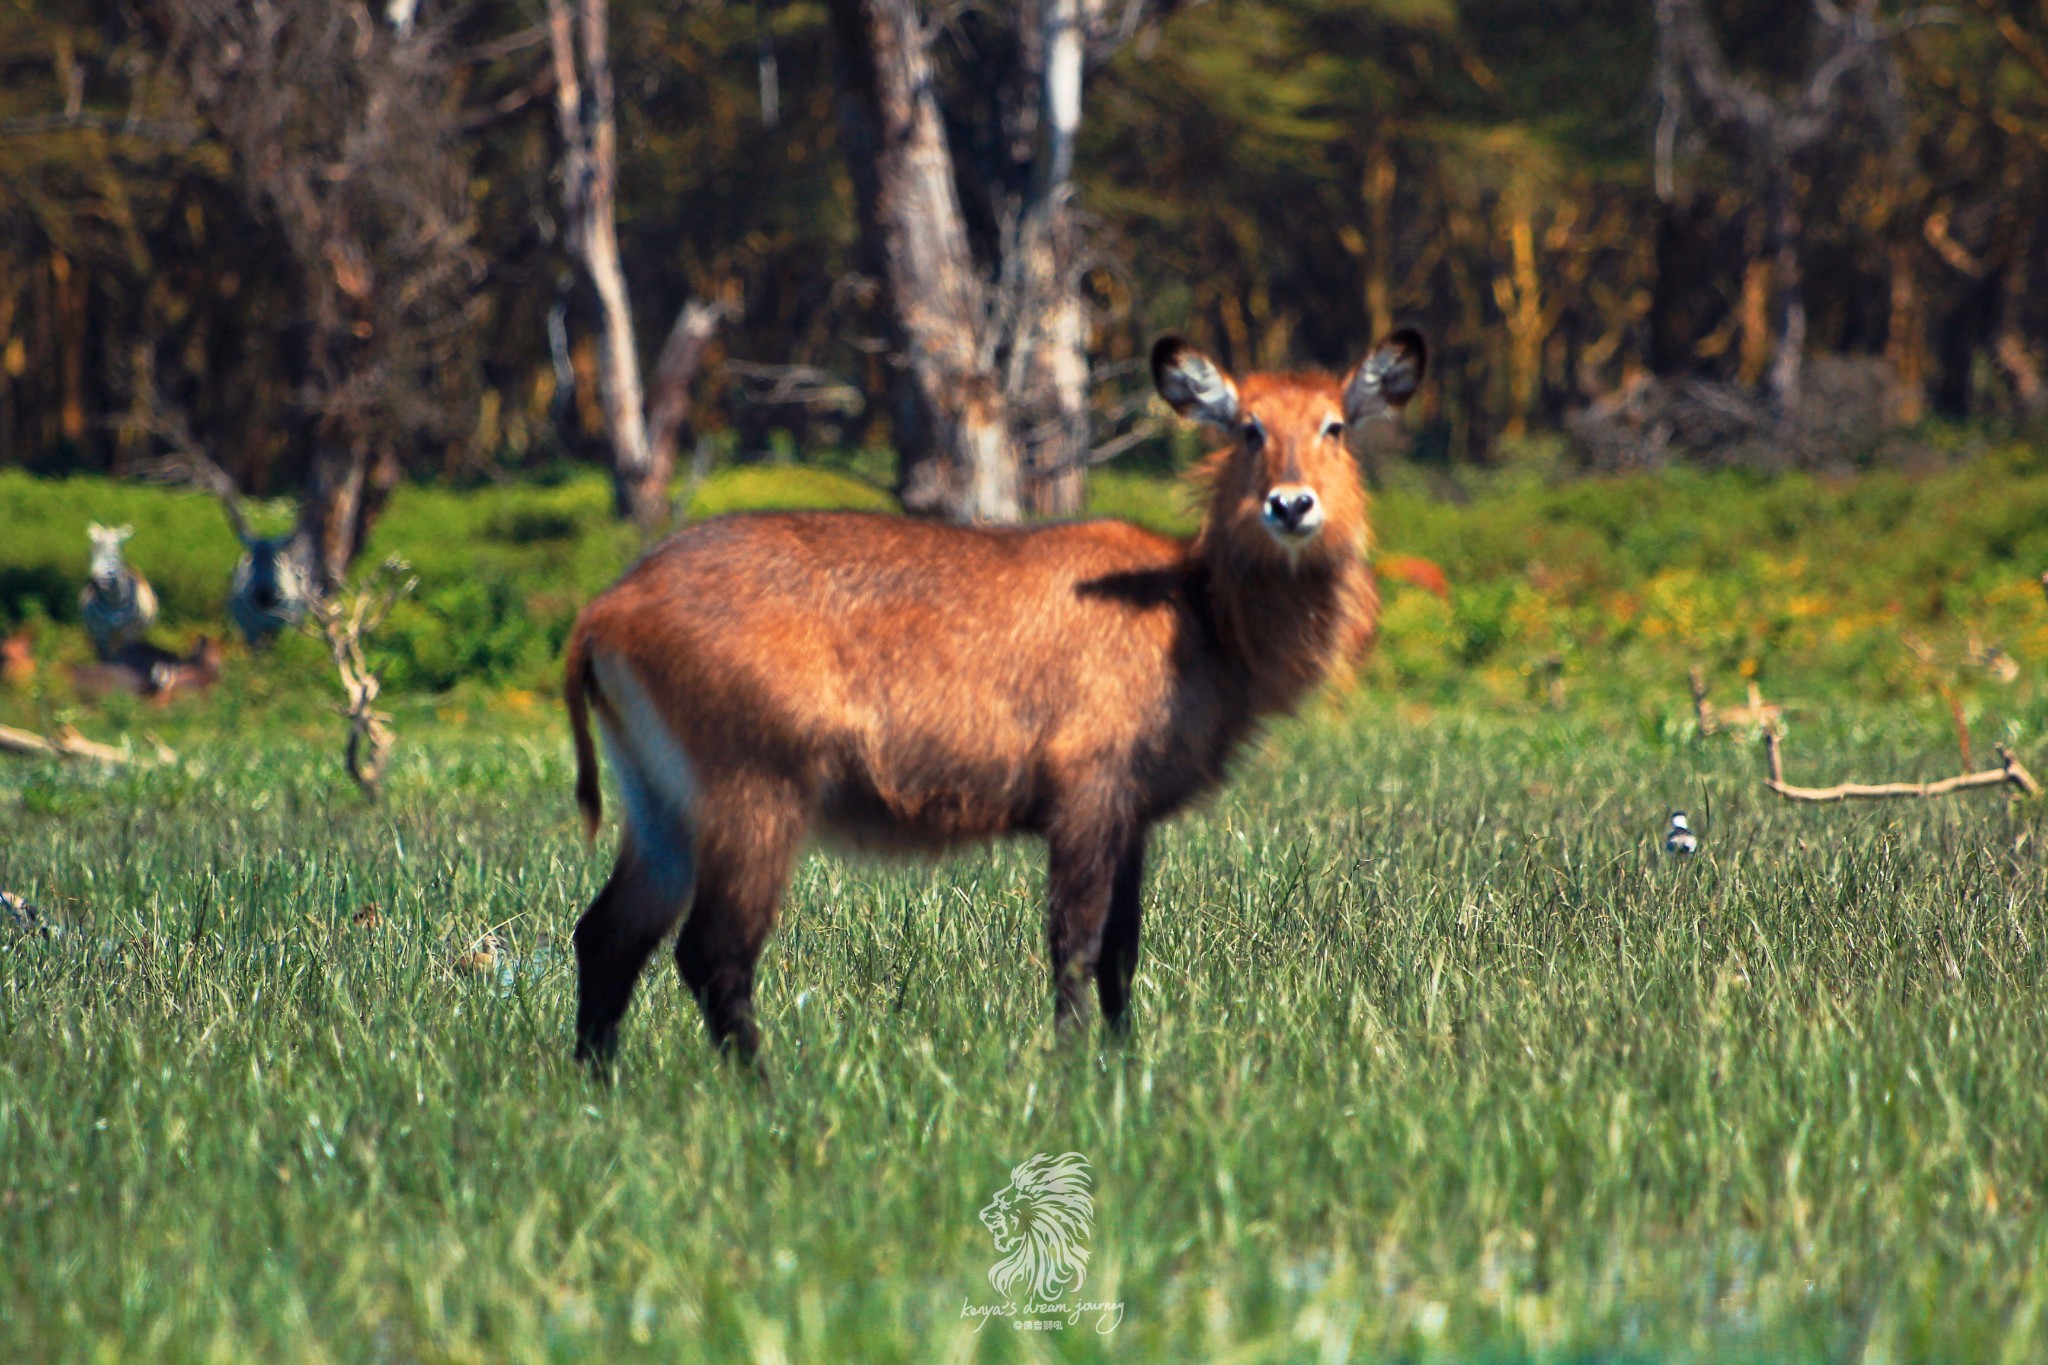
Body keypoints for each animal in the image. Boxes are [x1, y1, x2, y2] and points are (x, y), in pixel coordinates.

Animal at [79, 523, 159, 663]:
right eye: (91, 552)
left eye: (114, 553)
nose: (93, 583)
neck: (113, 603)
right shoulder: (101, 633)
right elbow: (106, 658)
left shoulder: (129, 634)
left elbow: (121, 657)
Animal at [561, 327, 1425, 1064]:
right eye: (1247, 427)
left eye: (1335, 425)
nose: (1291, 505)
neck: (1200, 610)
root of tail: (607, 608)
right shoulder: (1087, 792)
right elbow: (1075, 945)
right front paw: (1072, 1067)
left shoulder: (1132, 812)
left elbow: (1123, 951)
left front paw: (1123, 1063)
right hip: (755, 791)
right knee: (712, 952)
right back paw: (767, 1091)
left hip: (661, 802)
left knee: (605, 935)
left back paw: (599, 1087)